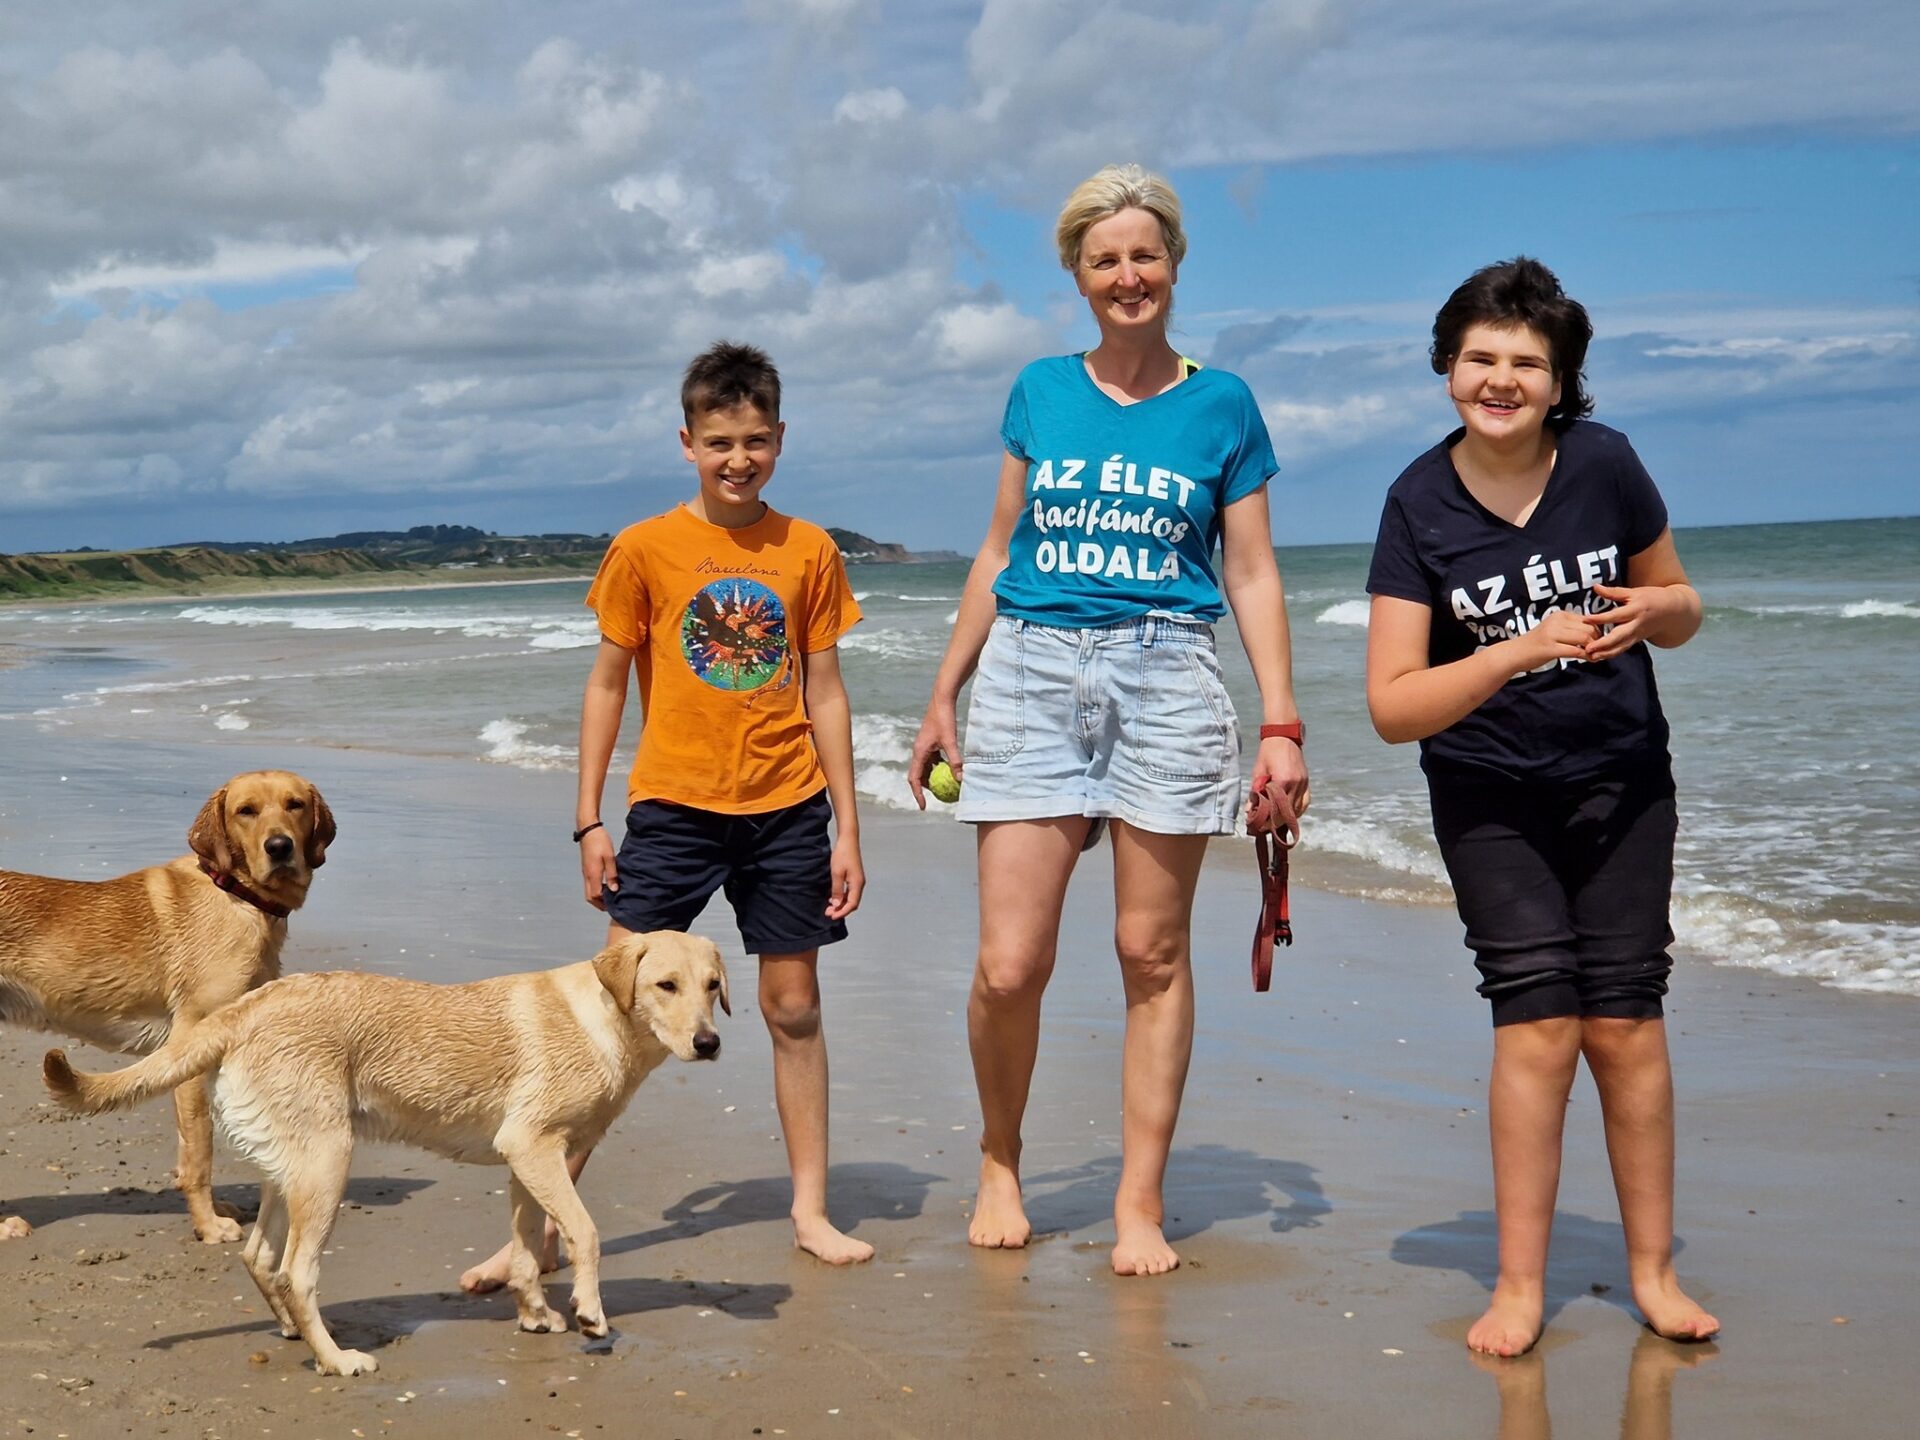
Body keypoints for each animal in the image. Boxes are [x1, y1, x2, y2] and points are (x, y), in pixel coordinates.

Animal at [0, 770, 333, 1243]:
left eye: (295, 805)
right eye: (245, 811)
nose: (279, 847)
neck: (235, 894)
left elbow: (190, 1148)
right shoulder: (192, 1052)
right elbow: (199, 1157)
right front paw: (209, 1226)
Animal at [45, 930, 729, 1377]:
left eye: (714, 986)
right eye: (665, 986)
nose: (710, 1043)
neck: (608, 1022)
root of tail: (243, 1010)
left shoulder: (528, 1163)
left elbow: (527, 1251)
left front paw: (537, 1315)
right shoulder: (533, 1148)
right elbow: (584, 1233)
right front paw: (589, 1312)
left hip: (288, 1169)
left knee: (260, 1257)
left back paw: (295, 1331)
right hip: (327, 1166)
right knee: (296, 1272)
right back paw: (335, 1359)